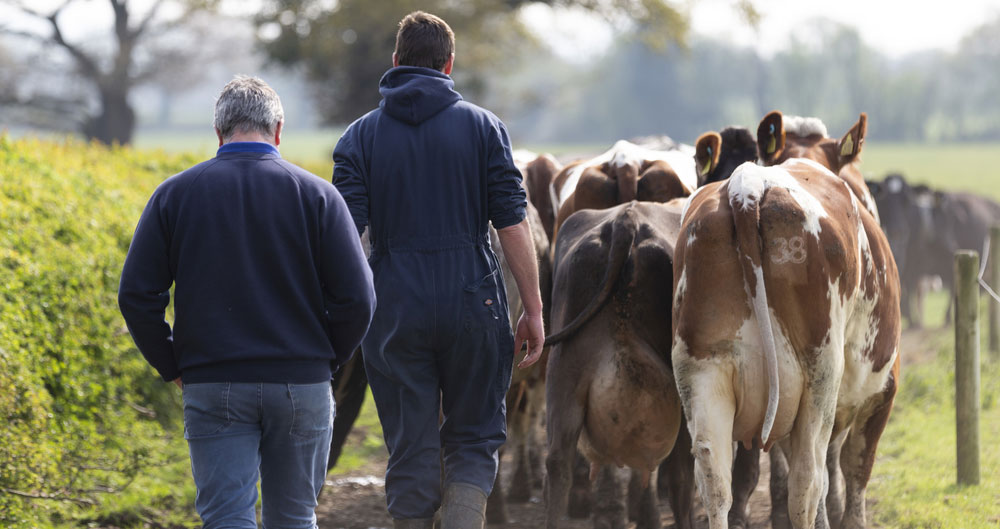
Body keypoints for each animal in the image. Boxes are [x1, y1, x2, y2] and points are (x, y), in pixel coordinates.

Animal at [672, 110, 900, 528]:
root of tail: (746, 188)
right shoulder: (881, 391)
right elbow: (852, 473)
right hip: (818, 377)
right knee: (807, 481)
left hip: (702, 373)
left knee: (715, 483)